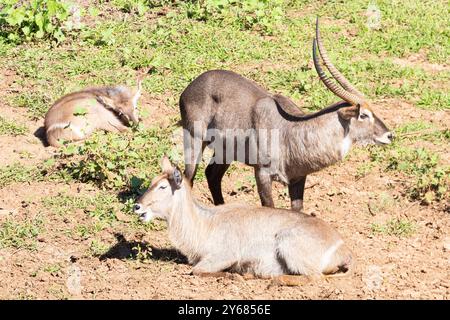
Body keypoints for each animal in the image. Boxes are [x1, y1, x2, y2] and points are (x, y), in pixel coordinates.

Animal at [134, 156, 356, 282]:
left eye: (163, 186)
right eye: (152, 182)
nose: (137, 206)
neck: (204, 224)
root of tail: (343, 249)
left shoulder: (225, 255)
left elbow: (196, 270)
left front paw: (236, 276)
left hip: (287, 241)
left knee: (315, 278)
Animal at [179, 18, 394, 211]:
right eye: (363, 115)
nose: (389, 135)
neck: (291, 130)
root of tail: (191, 87)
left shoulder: (298, 179)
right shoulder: (262, 174)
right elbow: (270, 208)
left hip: (225, 152)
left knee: (212, 175)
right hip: (195, 142)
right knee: (188, 178)